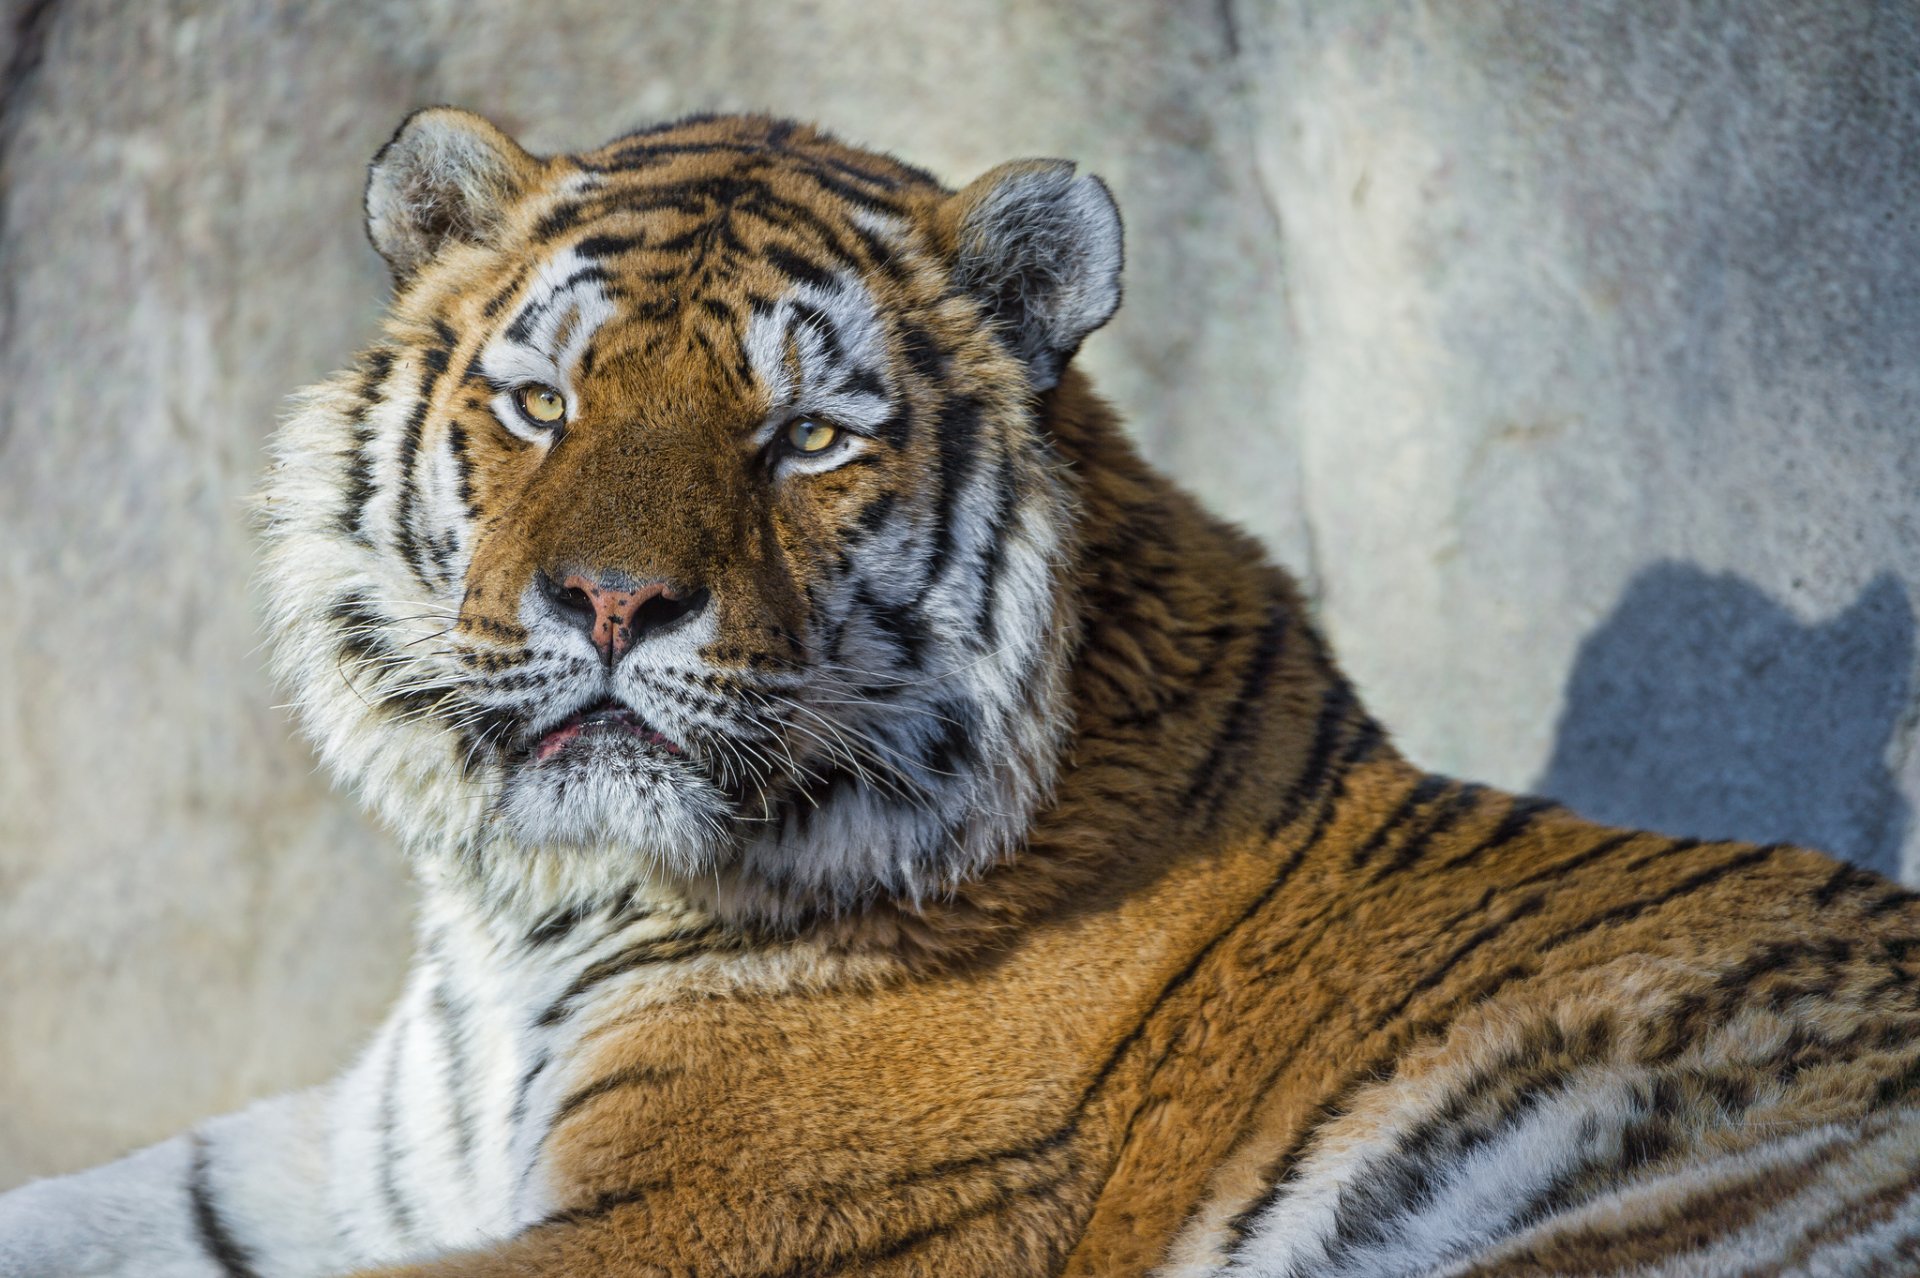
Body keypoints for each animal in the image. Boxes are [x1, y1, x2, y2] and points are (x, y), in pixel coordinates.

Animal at [1, 105, 1917, 1278]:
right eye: (545, 405)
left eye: (806, 437)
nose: (613, 601)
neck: (536, 905)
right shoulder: (355, 1157)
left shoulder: (723, 1214)